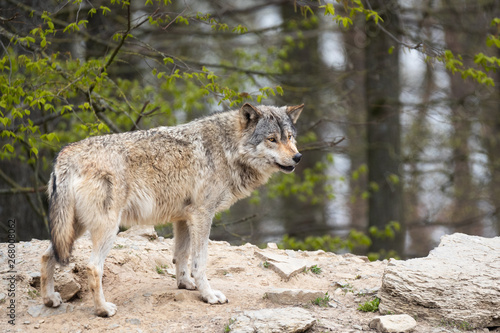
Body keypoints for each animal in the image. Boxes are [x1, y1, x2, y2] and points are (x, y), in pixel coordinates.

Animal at [41, 102, 302, 316]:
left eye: (289, 137)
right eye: (271, 139)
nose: (298, 157)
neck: (227, 149)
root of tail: (65, 154)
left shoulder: (184, 218)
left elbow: (181, 256)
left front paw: (185, 284)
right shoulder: (202, 215)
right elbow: (200, 262)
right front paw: (208, 295)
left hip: (73, 229)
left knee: (47, 255)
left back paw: (50, 299)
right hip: (107, 229)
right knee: (93, 267)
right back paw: (103, 310)